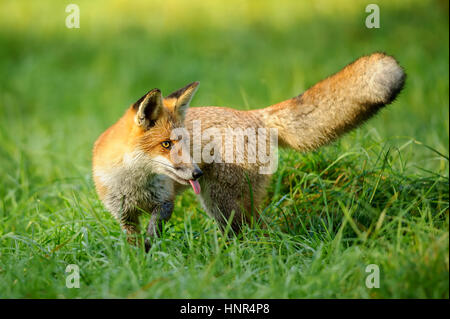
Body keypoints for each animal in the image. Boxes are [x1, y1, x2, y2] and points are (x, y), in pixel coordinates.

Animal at [91, 52, 404, 251]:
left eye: (185, 143)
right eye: (166, 144)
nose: (196, 172)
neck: (135, 183)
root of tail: (254, 114)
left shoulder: (164, 203)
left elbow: (154, 228)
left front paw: (151, 248)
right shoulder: (124, 216)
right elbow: (133, 243)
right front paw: (138, 261)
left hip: (221, 203)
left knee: (249, 232)